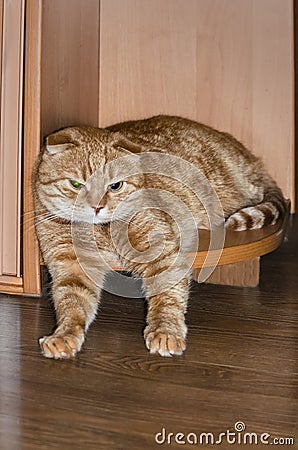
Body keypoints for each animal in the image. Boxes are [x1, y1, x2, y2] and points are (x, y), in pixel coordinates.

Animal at [32, 115, 286, 358]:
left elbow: (166, 297)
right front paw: (63, 335)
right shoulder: (73, 265)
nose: (97, 207)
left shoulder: (161, 253)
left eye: (115, 186)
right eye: (76, 184)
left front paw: (165, 331)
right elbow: (72, 303)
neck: (101, 229)